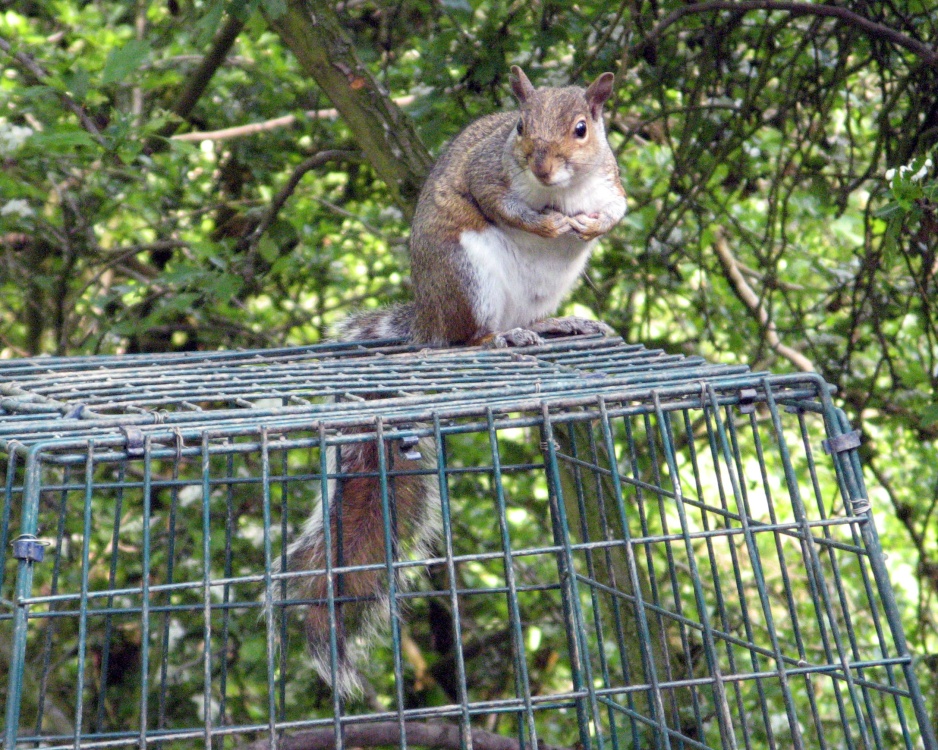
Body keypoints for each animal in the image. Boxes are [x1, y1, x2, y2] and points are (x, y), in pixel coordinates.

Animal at [282, 67, 624, 696]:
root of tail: (429, 321)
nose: (543, 168)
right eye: (520, 127)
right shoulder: (489, 174)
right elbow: (500, 202)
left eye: (582, 129)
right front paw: (549, 221)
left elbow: (616, 208)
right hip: (468, 275)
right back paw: (498, 340)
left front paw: (591, 223)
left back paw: (560, 324)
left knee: (525, 320)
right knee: (470, 338)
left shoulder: (610, 181)